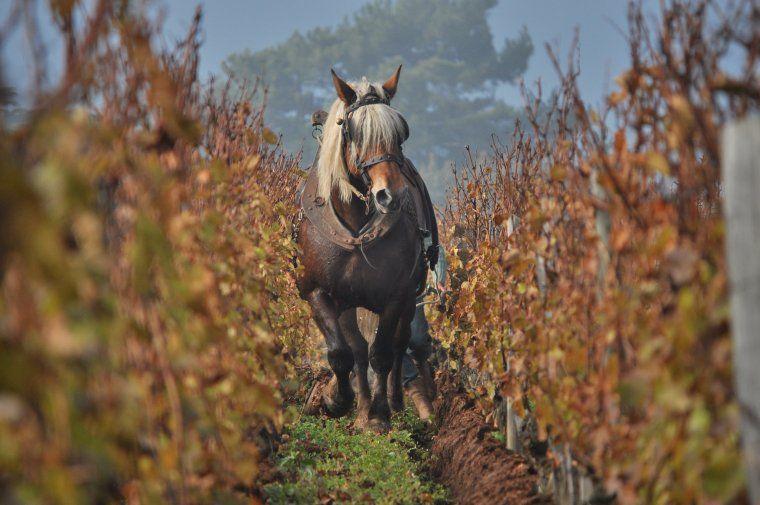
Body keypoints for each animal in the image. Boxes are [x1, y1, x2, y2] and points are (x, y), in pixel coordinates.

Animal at [296, 65, 440, 432]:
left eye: (401, 133)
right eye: (354, 132)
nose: (391, 195)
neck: (356, 227)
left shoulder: (395, 296)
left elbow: (383, 353)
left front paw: (381, 414)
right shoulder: (318, 291)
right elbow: (341, 353)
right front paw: (337, 400)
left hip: (409, 298)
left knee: (398, 346)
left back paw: (393, 402)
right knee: (358, 350)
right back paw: (359, 408)